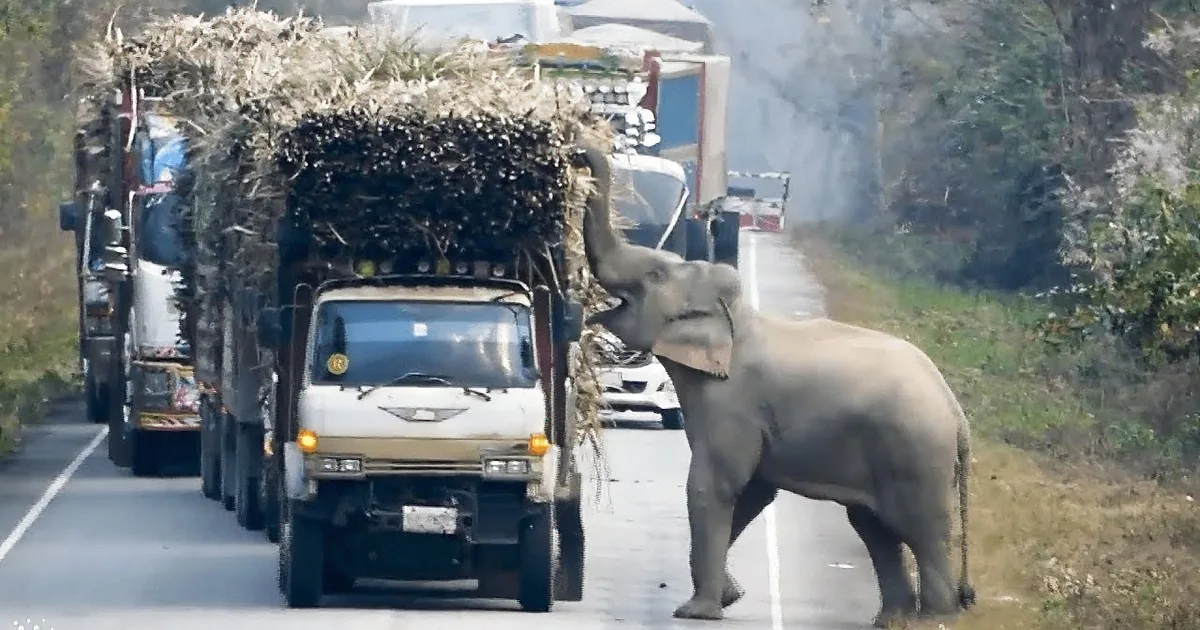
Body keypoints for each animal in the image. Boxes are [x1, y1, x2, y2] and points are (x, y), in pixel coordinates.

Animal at [574, 144, 977, 628]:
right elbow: (753, 491)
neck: (736, 316)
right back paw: (892, 620)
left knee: (921, 531)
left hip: (916, 453)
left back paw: (932, 618)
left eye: (654, 276)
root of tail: (957, 412)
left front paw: (697, 612)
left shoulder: (731, 402)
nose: (578, 155)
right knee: (874, 527)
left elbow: (715, 485)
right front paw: (731, 595)